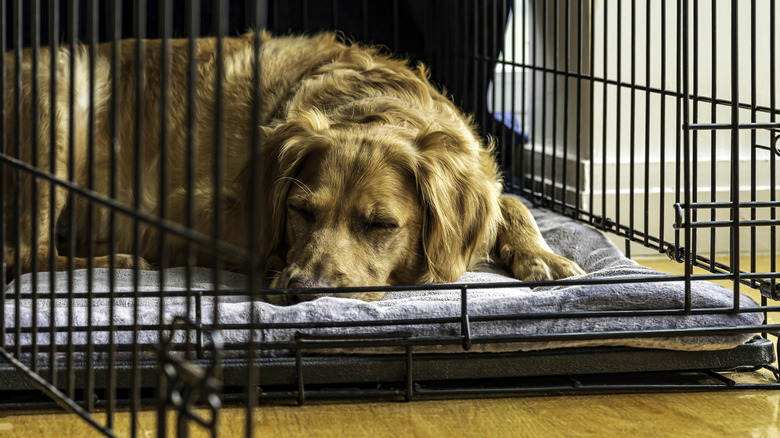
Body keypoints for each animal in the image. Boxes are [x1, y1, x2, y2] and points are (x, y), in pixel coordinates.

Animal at [3, 31, 580, 304]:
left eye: (381, 225)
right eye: (300, 211)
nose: (303, 288)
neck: (371, 105)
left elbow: (510, 201)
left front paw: (542, 255)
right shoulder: (189, 208)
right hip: (63, 94)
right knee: (28, 255)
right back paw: (119, 262)